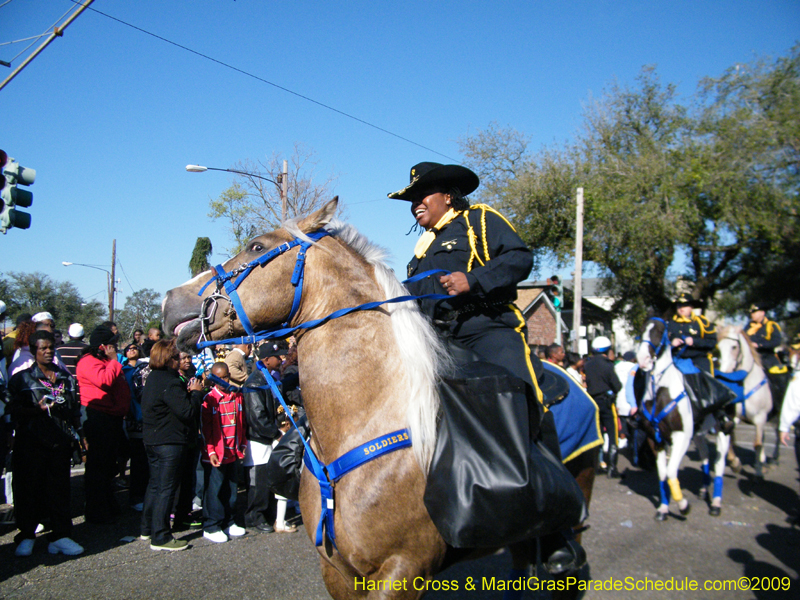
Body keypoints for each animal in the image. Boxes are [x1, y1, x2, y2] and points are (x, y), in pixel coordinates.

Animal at [162, 199, 596, 596]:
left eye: (256, 246)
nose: (170, 302)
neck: (365, 417)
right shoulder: (337, 570)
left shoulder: (402, 569)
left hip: (581, 485)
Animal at [636, 318, 692, 520]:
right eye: (642, 331)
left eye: (660, 332)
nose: (642, 360)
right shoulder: (656, 438)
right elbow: (662, 474)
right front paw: (663, 508)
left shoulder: (681, 436)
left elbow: (670, 471)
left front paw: (683, 505)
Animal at [712, 324, 776, 482]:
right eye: (719, 348)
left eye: (734, 347)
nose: (724, 374)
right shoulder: (734, 417)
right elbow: (730, 439)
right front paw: (735, 464)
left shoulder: (760, 418)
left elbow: (757, 444)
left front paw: (758, 473)